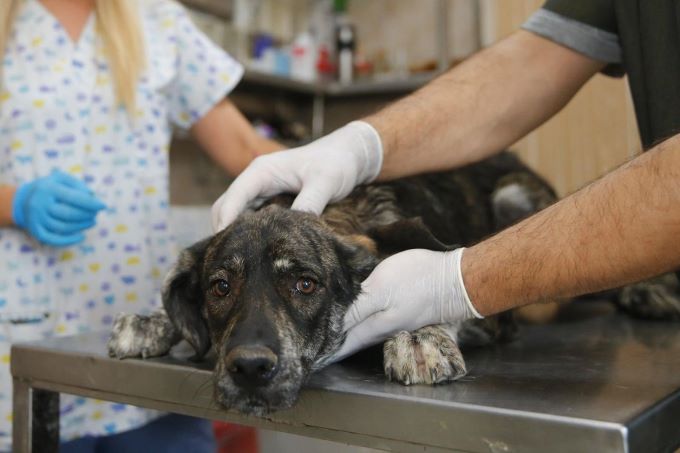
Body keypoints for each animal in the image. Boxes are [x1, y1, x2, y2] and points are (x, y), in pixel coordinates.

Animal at [105, 153, 680, 416]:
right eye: (219, 288)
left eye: (306, 284)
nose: (248, 368)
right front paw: (151, 321)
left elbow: (444, 274)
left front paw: (419, 334)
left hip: (519, 198)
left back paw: (649, 291)